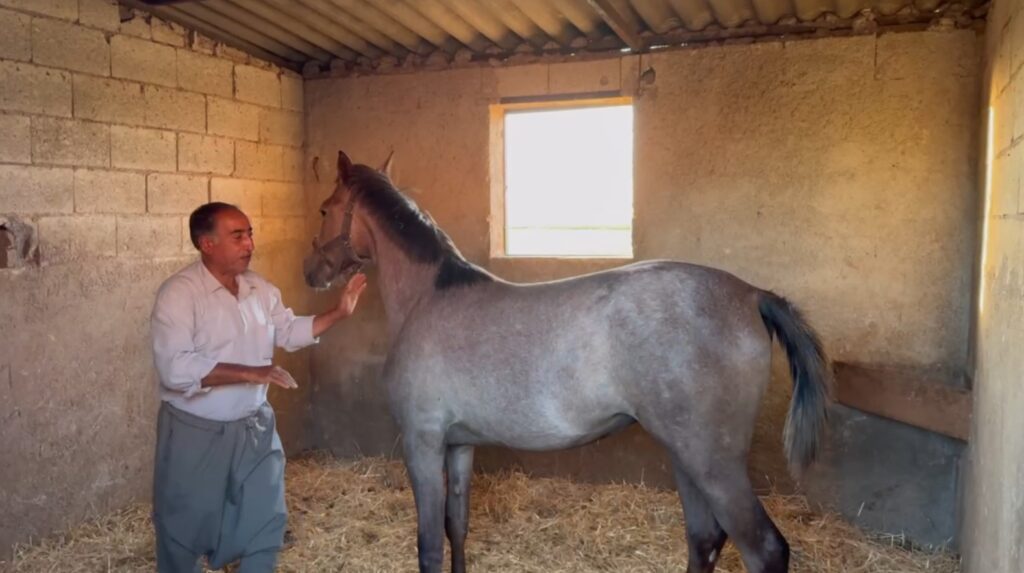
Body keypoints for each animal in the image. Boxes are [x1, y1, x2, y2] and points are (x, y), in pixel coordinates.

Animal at [303, 150, 832, 573]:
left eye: (325, 208)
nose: (310, 272)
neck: (428, 298)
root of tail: (752, 295)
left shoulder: (422, 443)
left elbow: (430, 546)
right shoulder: (459, 445)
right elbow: (457, 528)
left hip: (714, 461)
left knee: (764, 550)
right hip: (687, 455)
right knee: (704, 538)